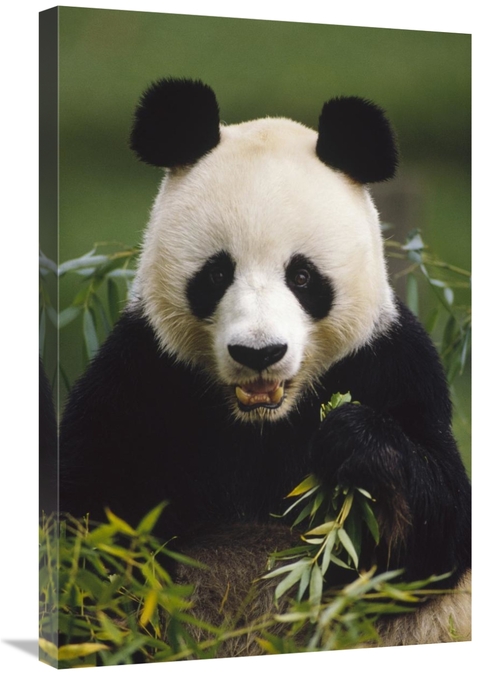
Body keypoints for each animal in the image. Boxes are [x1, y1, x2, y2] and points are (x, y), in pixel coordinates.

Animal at [59, 77, 471, 652]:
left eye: (302, 276)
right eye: (216, 274)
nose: (259, 353)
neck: (262, 425)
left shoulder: (391, 363)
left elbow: (438, 535)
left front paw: (355, 442)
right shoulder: (143, 375)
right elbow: (89, 527)